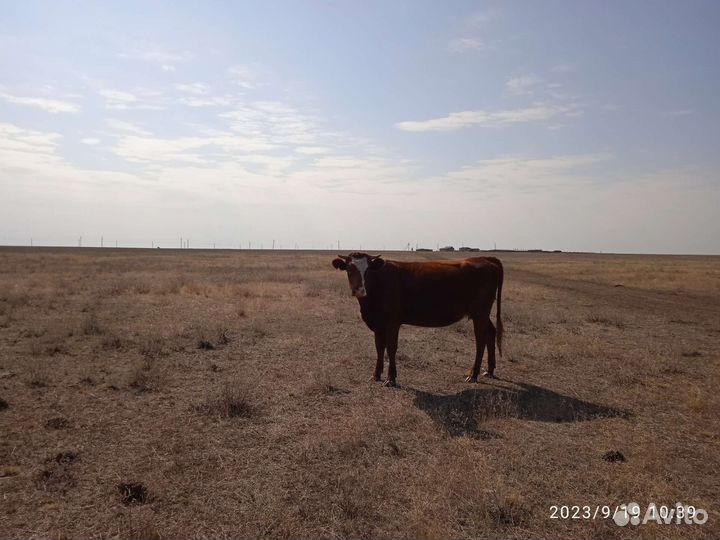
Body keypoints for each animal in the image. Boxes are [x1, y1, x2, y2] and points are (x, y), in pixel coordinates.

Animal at [332, 252, 503, 386]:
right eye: (349, 269)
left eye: (367, 270)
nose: (359, 290)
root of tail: (485, 258)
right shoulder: (378, 323)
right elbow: (379, 348)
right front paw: (376, 375)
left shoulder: (393, 322)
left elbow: (391, 348)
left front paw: (391, 378)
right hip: (481, 314)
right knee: (490, 333)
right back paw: (489, 370)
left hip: (480, 313)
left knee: (481, 340)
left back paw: (473, 374)